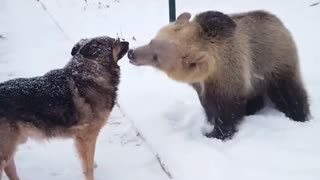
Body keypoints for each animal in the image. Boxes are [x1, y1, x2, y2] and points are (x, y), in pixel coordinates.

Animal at [0, 35, 127, 179]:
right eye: (115, 42)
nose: (128, 43)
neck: (91, 71)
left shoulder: (82, 139)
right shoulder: (87, 137)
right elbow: (88, 166)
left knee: (10, 167)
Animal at [127, 10, 310, 141]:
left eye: (156, 57)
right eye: (152, 41)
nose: (131, 53)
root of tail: (279, 22)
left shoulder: (227, 77)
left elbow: (226, 112)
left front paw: (215, 133)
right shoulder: (203, 85)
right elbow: (207, 105)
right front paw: (209, 121)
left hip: (274, 62)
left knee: (289, 91)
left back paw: (298, 115)